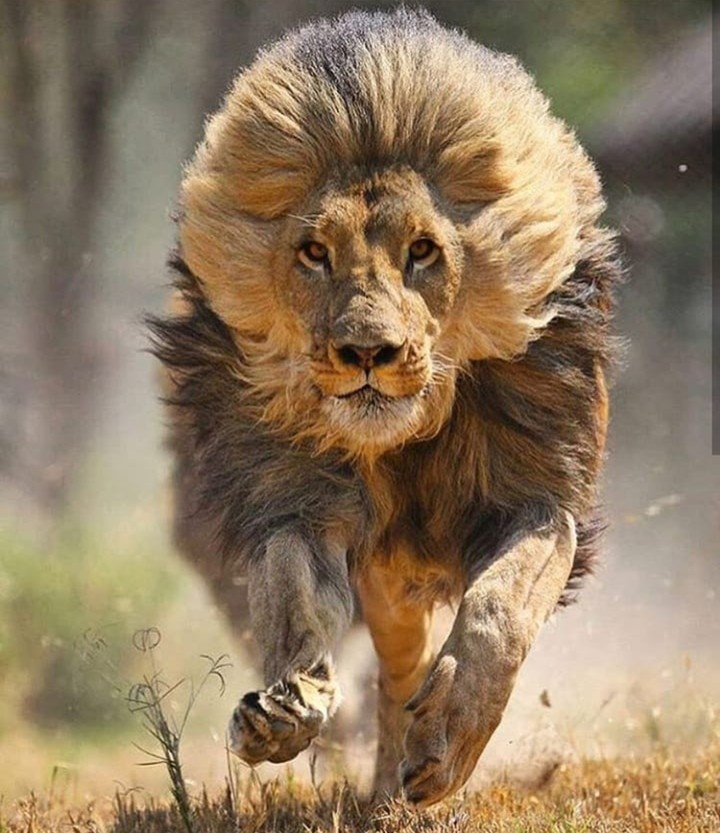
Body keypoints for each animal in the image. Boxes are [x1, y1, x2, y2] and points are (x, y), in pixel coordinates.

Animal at [149, 8, 620, 807]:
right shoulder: (297, 498)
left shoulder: (538, 496)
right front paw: (288, 705)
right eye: (314, 253)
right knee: (396, 670)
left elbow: (499, 613)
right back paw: (382, 786)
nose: (368, 352)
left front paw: (450, 740)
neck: (402, 445)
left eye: (423, 251)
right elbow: (294, 598)